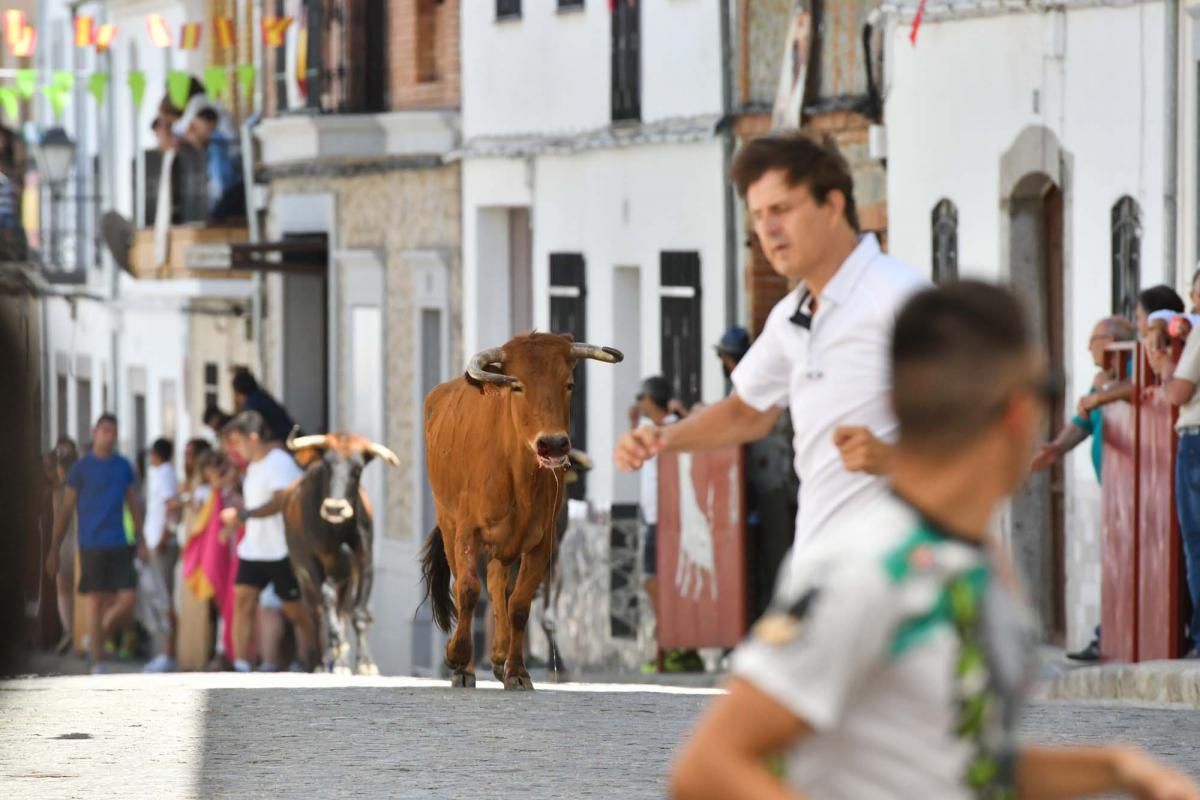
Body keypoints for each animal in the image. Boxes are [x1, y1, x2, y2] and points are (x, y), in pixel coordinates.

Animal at [280, 429, 398, 671]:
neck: (338, 530)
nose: (335, 508)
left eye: (358, 469)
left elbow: (359, 612)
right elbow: (326, 602)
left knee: (342, 610)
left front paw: (365, 663)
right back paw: (323, 661)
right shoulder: (312, 562)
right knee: (317, 613)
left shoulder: (364, 562)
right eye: (327, 465)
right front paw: (337, 652)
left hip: (345, 579)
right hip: (303, 577)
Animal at [420, 331, 624, 690]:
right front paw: (457, 658)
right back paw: (469, 665)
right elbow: (468, 590)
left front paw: (516, 670)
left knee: (498, 585)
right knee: (468, 586)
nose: (553, 444)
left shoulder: (542, 544)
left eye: (569, 383)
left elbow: (518, 604)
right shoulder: (467, 532)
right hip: (448, 524)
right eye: (517, 386)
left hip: (506, 546)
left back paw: (500, 656)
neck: (516, 475)